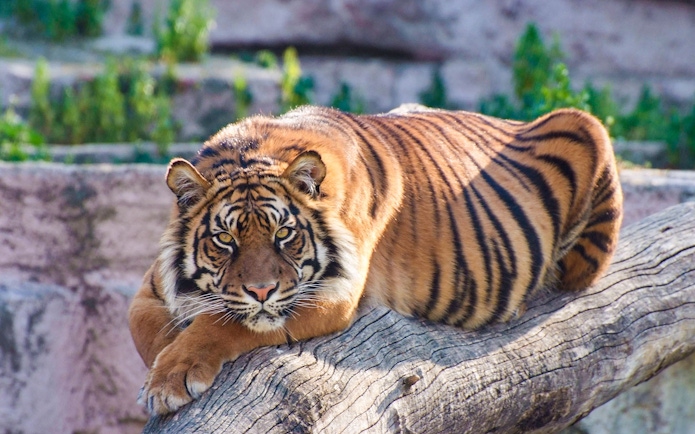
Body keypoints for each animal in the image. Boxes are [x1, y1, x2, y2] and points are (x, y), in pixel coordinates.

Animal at [128, 105, 623, 415]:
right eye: (225, 239)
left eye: (284, 234)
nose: (261, 290)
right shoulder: (154, 286)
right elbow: (145, 328)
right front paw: (163, 367)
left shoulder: (331, 293)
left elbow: (223, 322)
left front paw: (171, 378)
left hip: (586, 130)